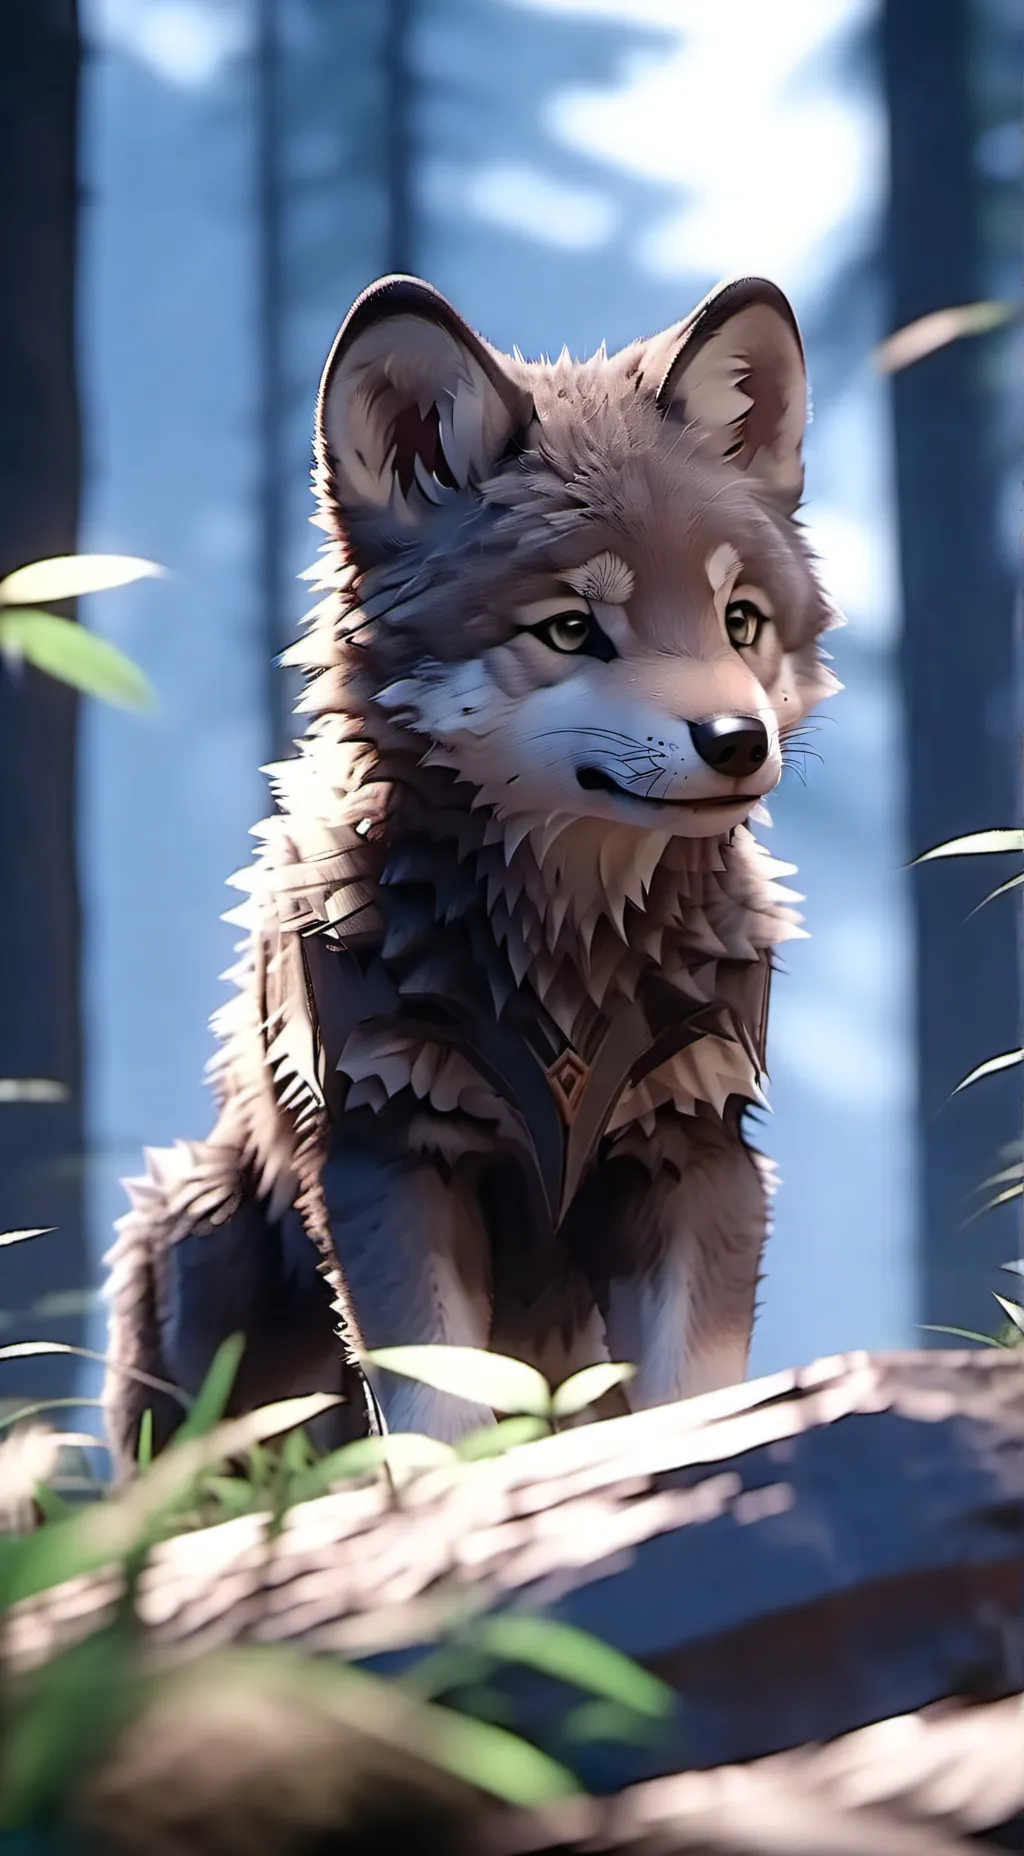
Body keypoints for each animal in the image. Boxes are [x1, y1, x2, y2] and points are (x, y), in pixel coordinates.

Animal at [103, 272, 839, 1466]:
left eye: (740, 620)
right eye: (573, 629)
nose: (737, 741)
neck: (567, 965)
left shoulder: (695, 1150)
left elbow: (693, 1393)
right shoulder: (393, 1153)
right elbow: (438, 1411)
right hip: (196, 1228)